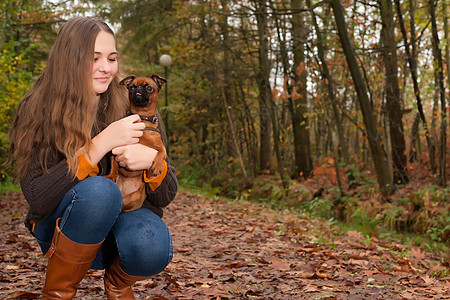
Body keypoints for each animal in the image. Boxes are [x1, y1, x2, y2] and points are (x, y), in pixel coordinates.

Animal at [107, 74, 167, 211]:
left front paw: (157, 166)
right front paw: (112, 175)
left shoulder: (160, 145)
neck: (141, 119)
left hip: (137, 197)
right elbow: (113, 165)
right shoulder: (115, 148)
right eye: (131, 87)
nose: (138, 88)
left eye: (149, 88)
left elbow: (162, 152)